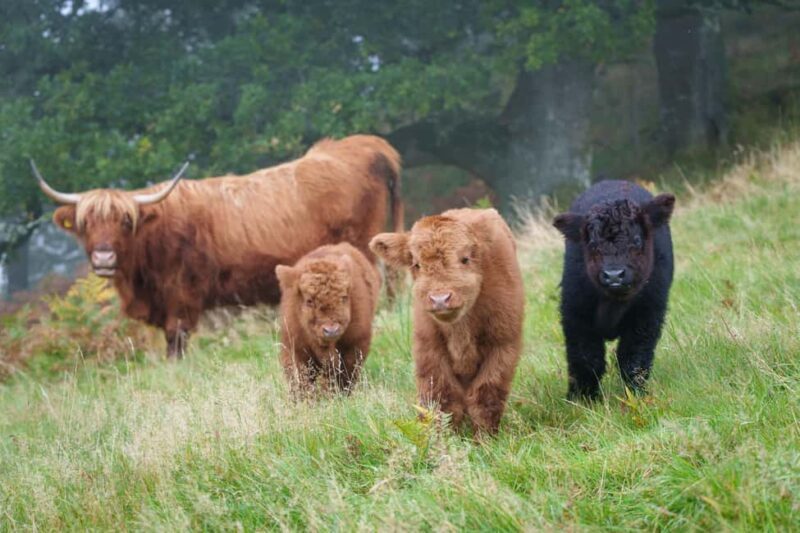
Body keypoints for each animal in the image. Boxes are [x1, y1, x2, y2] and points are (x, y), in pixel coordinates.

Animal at [33, 135, 402, 358]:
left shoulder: (180, 296)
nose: (104, 257)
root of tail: (368, 144)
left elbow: (176, 340)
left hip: (360, 246)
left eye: (126, 221)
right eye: (85, 224)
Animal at [275, 242, 380, 397]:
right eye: (309, 301)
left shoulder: (356, 344)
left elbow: (343, 375)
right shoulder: (294, 348)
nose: (331, 330)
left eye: (344, 297)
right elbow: (300, 378)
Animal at [370, 208, 524, 435]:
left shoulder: (503, 345)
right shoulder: (429, 350)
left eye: (465, 259)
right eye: (416, 264)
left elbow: (486, 395)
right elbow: (442, 399)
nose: (440, 298)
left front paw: (485, 438)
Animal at [553, 180, 675, 400]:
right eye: (592, 243)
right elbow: (586, 360)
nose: (614, 275)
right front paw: (582, 399)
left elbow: (633, 359)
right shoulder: (575, 313)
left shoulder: (648, 315)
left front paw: (637, 394)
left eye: (636, 240)